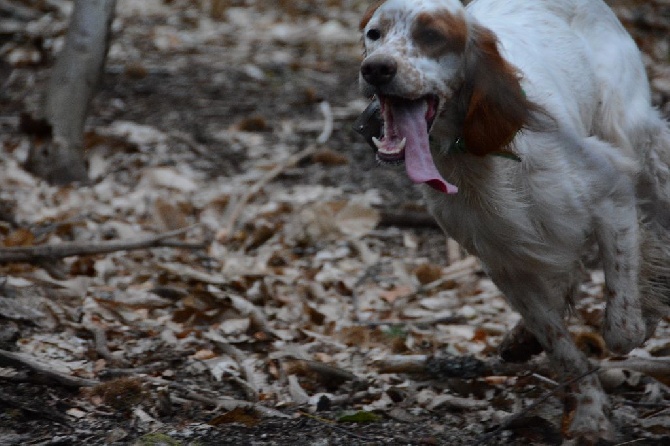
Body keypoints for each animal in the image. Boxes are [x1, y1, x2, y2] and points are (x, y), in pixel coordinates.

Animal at [360, 0, 670, 440]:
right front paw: (590, 414)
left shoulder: (612, 195)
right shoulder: (505, 263)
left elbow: (623, 329)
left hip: (637, 138)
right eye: (374, 34)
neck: (475, 156)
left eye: (432, 35)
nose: (375, 69)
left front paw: (649, 302)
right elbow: (562, 346)